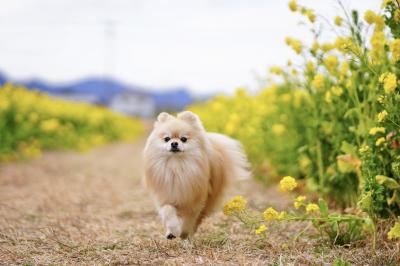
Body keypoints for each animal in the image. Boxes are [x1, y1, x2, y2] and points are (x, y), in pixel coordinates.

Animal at [144, 110, 250, 239]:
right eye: (167, 139)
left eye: (183, 139)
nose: (174, 143)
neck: (177, 166)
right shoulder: (166, 196)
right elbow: (168, 211)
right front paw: (173, 230)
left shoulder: (194, 202)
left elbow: (189, 220)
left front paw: (184, 233)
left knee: (198, 219)